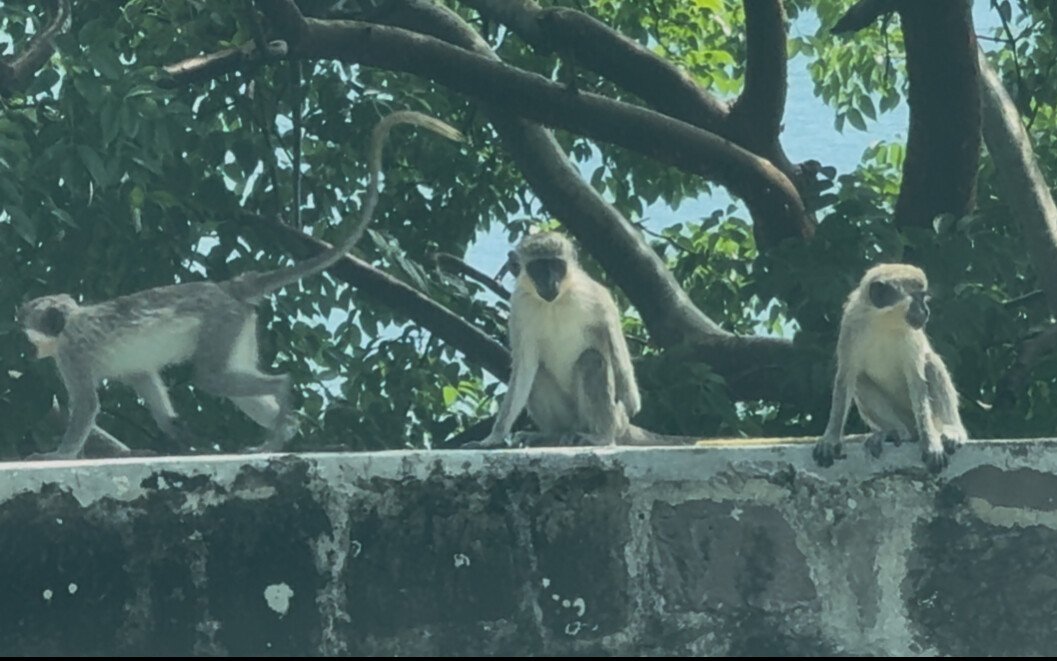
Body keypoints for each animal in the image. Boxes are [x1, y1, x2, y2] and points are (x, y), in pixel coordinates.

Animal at [17, 111, 462, 460]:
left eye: (27, 326)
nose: (29, 347)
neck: (70, 321)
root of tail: (228, 288)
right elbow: (146, 379)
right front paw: (175, 429)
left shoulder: (72, 353)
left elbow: (87, 404)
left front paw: (59, 455)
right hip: (238, 324)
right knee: (227, 378)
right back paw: (285, 429)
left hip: (221, 320)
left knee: (212, 378)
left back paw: (282, 401)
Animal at [812, 263, 968, 473]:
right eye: (917, 298)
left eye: (923, 297)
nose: (926, 311)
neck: (883, 321)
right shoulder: (851, 325)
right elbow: (846, 377)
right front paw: (830, 438)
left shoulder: (912, 335)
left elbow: (917, 381)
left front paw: (931, 443)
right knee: (861, 379)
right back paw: (896, 432)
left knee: (930, 362)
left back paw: (951, 429)